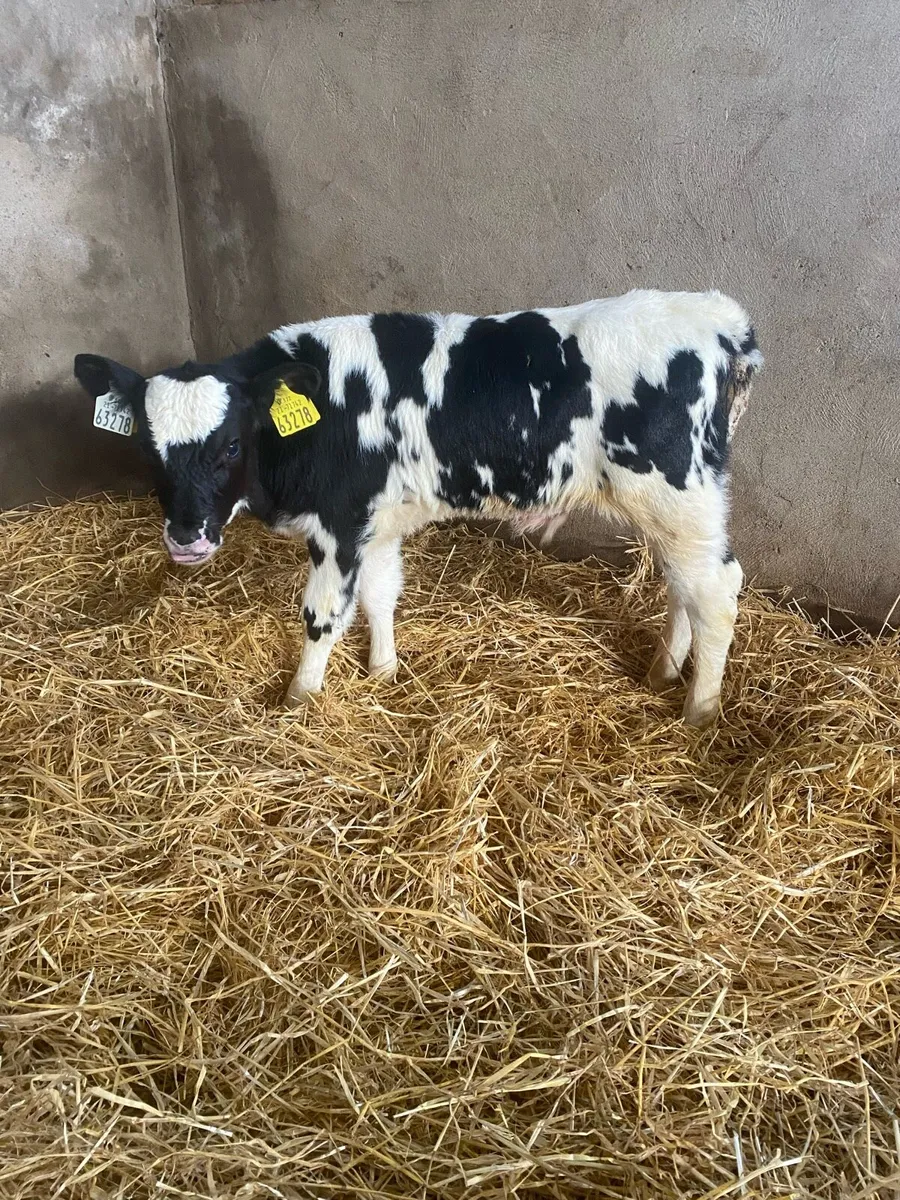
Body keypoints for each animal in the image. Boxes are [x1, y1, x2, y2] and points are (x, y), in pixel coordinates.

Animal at [74, 289, 762, 726]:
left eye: (232, 445)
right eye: (147, 446)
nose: (186, 536)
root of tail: (718, 316)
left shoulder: (339, 523)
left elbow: (323, 615)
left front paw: (298, 699)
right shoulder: (377, 523)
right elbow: (381, 595)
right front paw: (383, 672)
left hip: (677, 492)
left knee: (716, 591)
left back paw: (698, 712)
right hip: (677, 510)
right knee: (684, 585)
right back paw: (663, 673)